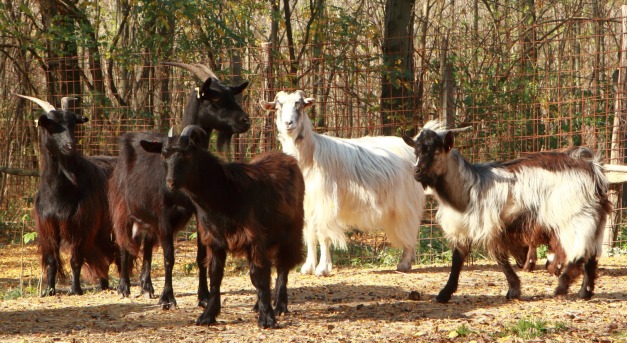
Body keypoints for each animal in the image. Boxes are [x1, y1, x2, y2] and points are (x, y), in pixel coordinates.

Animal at [16, 93, 118, 296]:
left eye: (72, 124)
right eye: (52, 125)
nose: (69, 146)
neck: (59, 193)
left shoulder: (79, 226)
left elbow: (75, 259)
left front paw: (76, 289)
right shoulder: (48, 226)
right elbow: (52, 261)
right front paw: (49, 290)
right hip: (102, 229)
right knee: (106, 254)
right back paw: (104, 284)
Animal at [110, 62, 250, 312]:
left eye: (231, 94)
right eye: (215, 97)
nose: (245, 121)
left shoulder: (198, 213)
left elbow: (201, 256)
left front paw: (203, 297)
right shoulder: (164, 214)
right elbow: (169, 257)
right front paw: (168, 299)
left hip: (148, 216)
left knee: (146, 245)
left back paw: (147, 287)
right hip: (123, 209)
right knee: (124, 244)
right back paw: (124, 287)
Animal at [143, 125, 310, 330]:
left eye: (187, 154)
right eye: (163, 155)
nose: (171, 183)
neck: (225, 192)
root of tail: (287, 158)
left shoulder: (254, 239)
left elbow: (257, 276)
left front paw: (267, 318)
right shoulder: (215, 241)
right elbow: (215, 276)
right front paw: (208, 315)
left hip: (291, 233)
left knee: (282, 266)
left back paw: (279, 305)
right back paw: (259, 305)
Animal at [260, 90, 426, 276]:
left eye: (299, 105)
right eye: (278, 106)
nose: (289, 123)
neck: (309, 157)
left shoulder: (325, 202)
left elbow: (323, 234)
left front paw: (323, 268)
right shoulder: (306, 204)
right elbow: (309, 234)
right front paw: (308, 267)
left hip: (406, 203)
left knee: (410, 228)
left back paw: (404, 262)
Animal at [402, 119, 612, 302]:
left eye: (436, 151)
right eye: (416, 150)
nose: (416, 172)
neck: (467, 188)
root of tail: (592, 169)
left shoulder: (489, 226)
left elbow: (499, 258)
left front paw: (513, 290)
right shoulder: (465, 227)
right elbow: (458, 259)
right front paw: (444, 294)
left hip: (572, 216)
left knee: (580, 252)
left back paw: (562, 286)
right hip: (592, 219)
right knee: (591, 255)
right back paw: (585, 292)